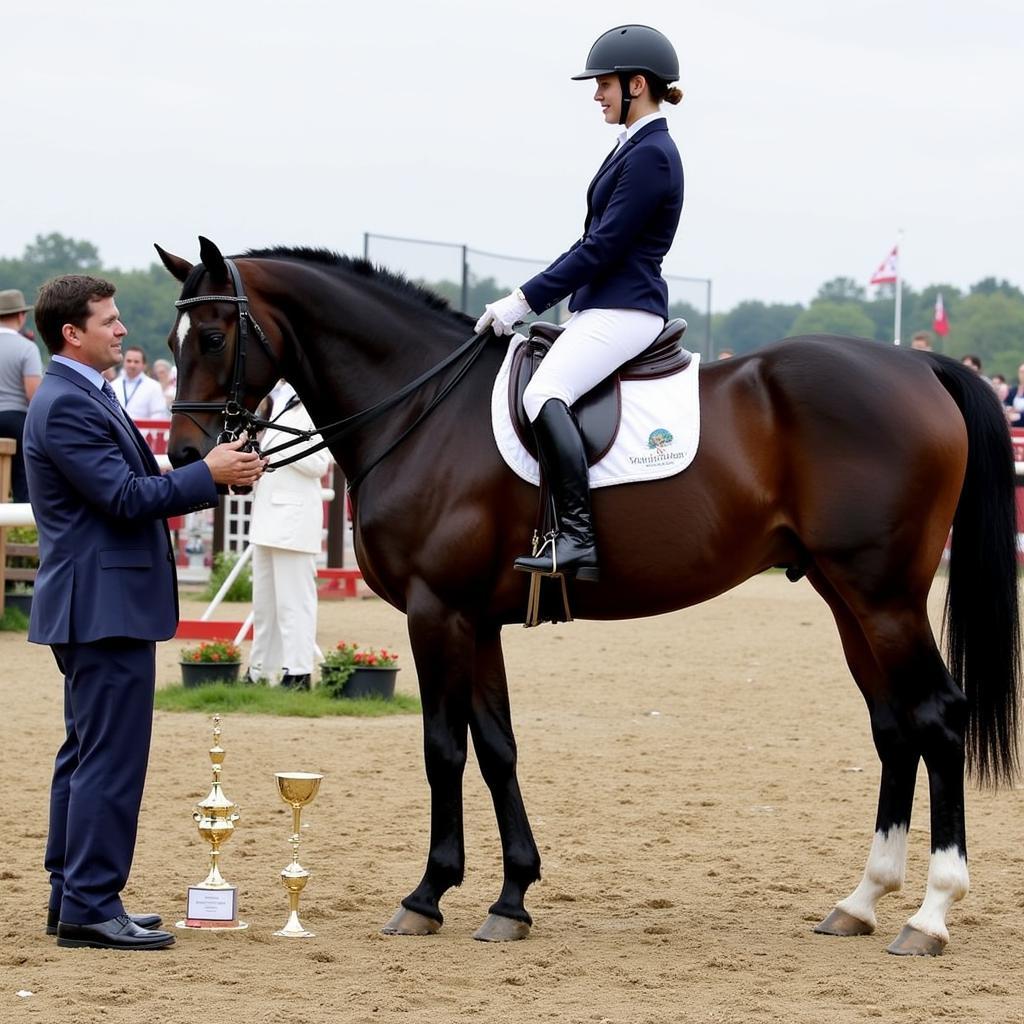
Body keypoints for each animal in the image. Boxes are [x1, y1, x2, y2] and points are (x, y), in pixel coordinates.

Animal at [157, 237, 1015, 950]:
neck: (422, 407)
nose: (189, 458)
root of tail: (920, 368)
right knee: (894, 727)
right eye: (173, 342)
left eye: (212, 337)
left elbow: (442, 749)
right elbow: (497, 747)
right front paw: (511, 899)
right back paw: (860, 902)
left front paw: (427, 896)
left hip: (884, 595)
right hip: (848, 597)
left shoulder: (439, 612)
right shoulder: (479, 621)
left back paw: (930, 914)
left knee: (938, 718)